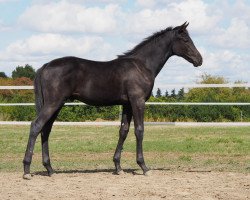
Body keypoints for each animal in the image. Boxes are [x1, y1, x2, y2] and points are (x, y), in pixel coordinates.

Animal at [23, 22, 203, 180]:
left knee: (46, 130)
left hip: (57, 105)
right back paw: (27, 170)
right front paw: (144, 167)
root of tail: (45, 66)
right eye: (185, 40)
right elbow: (139, 130)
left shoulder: (127, 104)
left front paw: (118, 167)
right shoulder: (137, 101)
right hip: (53, 103)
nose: (199, 59)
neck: (141, 65)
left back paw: (50, 169)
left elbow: (123, 131)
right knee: (36, 126)